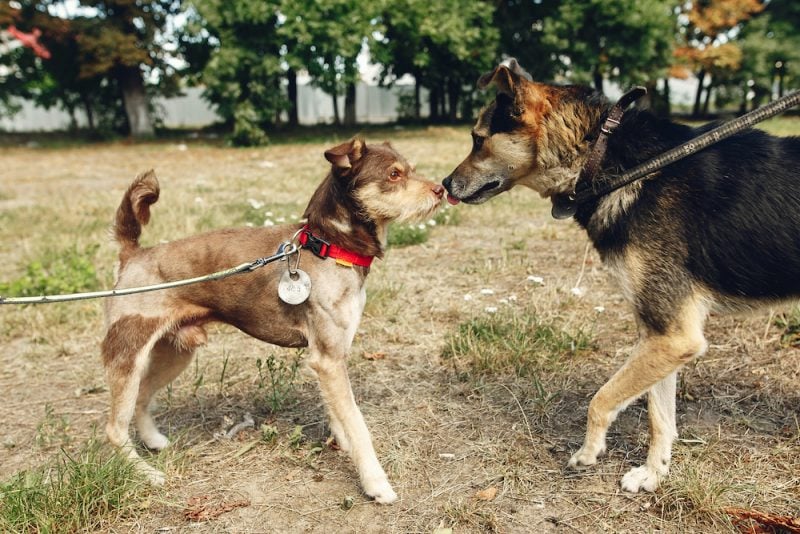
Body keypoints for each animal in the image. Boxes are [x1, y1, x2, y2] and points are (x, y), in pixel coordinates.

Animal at [101, 137, 444, 502]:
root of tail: (134, 253)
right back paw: (146, 474)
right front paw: (375, 482)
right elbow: (357, 423)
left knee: (141, 398)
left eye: (412, 169)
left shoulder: (330, 360)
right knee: (114, 428)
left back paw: (153, 441)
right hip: (127, 357)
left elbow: (341, 417)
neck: (329, 245)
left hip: (175, 353)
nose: (440, 189)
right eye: (394, 174)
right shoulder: (328, 360)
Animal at [444, 58, 800, 494]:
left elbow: (602, 399)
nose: (444, 184)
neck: (603, 155)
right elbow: (659, 415)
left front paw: (589, 452)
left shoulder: (672, 336)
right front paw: (654, 473)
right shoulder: (660, 336)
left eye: (477, 140)